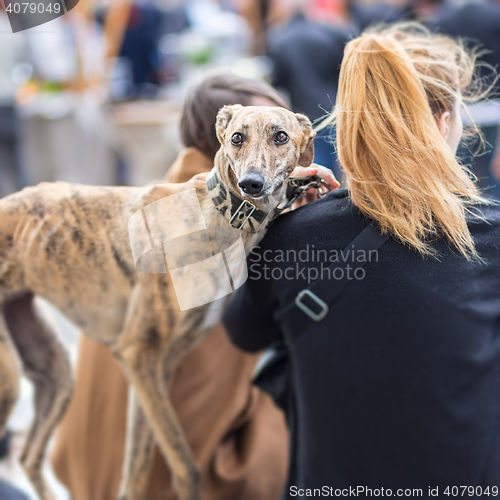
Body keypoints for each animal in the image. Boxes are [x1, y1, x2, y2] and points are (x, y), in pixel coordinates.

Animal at [0, 103, 316, 498]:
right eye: (236, 137)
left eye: (281, 136)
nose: (251, 184)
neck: (217, 214)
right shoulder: (138, 352)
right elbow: (186, 468)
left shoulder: (158, 366)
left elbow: (137, 471)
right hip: (9, 380)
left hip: (53, 371)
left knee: (30, 456)